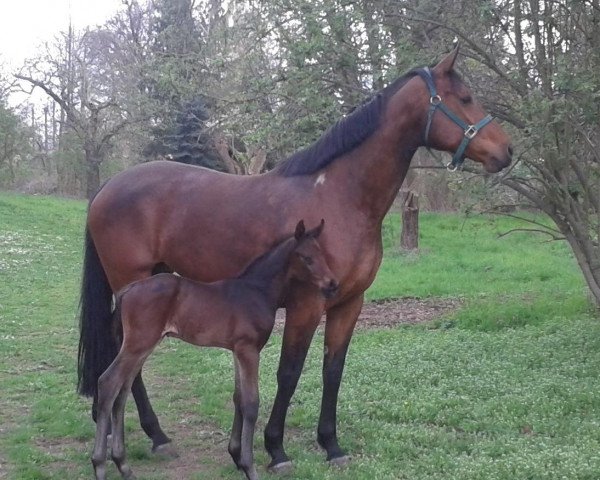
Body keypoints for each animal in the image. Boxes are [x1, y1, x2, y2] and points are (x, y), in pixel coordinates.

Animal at [92, 221, 340, 480]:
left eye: (322, 254)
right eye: (306, 257)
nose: (333, 284)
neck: (256, 291)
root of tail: (127, 290)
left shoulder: (237, 350)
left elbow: (239, 398)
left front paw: (237, 458)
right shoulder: (249, 349)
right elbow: (251, 404)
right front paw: (250, 467)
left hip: (142, 346)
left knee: (122, 390)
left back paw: (123, 465)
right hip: (138, 343)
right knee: (108, 382)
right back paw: (100, 464)